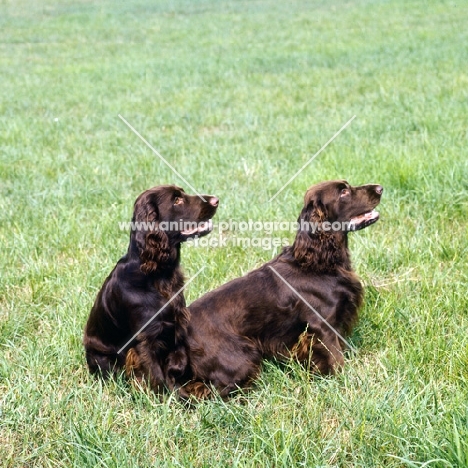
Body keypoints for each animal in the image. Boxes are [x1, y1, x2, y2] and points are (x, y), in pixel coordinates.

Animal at [178, 180, 380, 398]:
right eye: (343, 192)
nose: (380, 188)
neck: (317, 263)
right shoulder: (323, 326)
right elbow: (335, 358)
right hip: (241, 357)